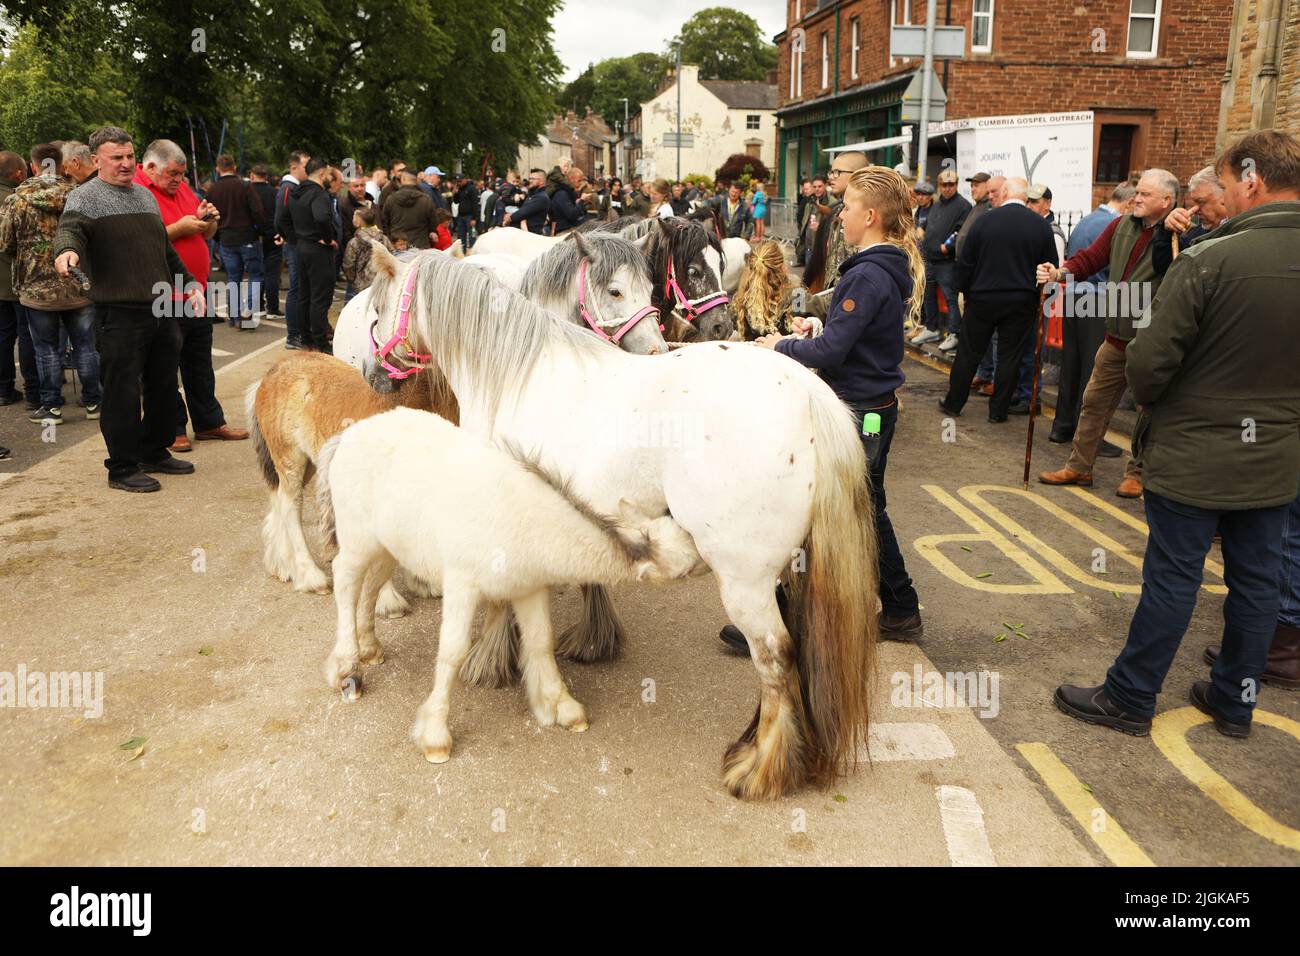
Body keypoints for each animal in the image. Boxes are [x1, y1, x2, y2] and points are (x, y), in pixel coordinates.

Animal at [313, 408, 702, 764]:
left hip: (387, 547)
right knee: (345, 582)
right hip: (357, 541)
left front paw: (563, 707)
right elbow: (453, 651)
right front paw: (435, 735)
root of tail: (348, 435)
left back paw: (370, 648)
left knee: (371, 587)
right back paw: (347, 668)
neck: (523, 520)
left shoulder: (528, 590)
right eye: (685, 571)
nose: (707, 558)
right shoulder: (462, 586)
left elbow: (541, 642)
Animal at [361, 248, 878, 801]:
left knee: (776, 657)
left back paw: (762, 770)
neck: (516, 375)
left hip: (745, 581)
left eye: (377, 310)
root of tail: (808, 392)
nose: (374, 375)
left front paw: (491, 662)